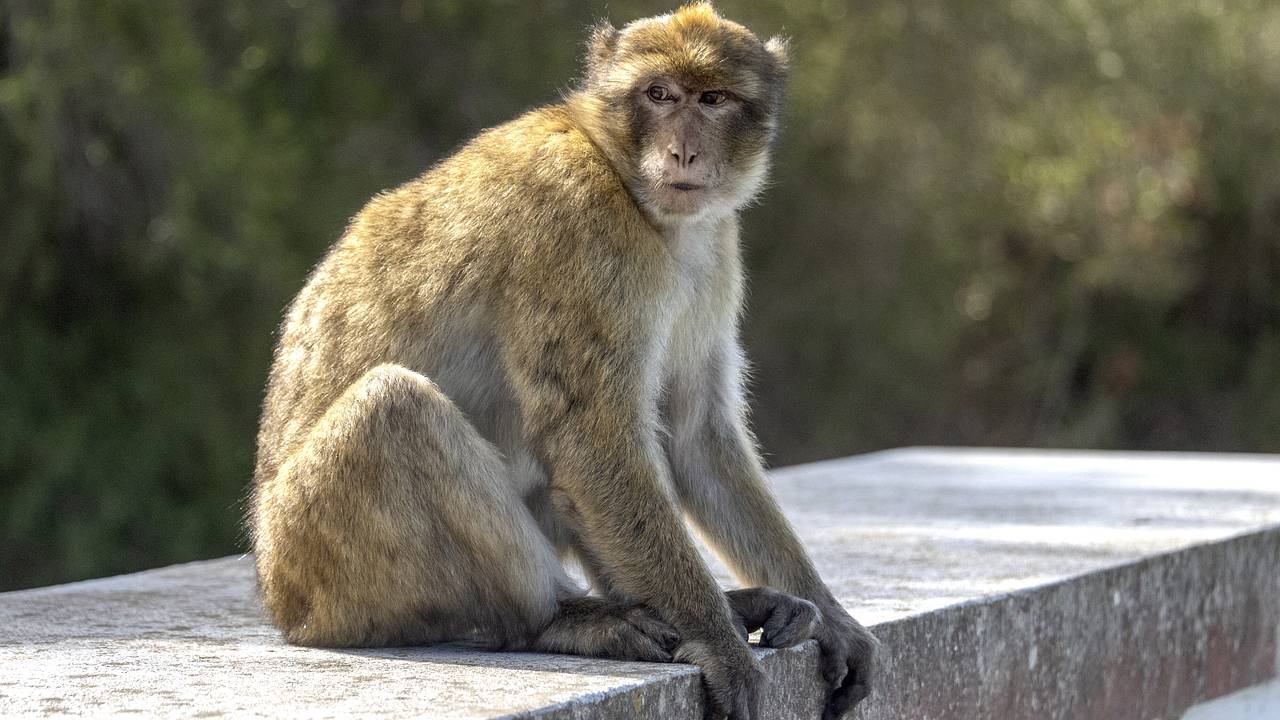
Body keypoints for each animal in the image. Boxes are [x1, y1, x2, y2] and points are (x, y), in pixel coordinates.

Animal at [244, 2, 875, 712]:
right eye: (659, 94)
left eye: (712, 99)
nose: (683, 149)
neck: (623, 177)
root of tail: (279, 603)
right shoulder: (581, 228)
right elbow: (590, 435)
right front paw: (718, 643)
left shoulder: (715, 249)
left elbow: (694, 435)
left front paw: (834, 619)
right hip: (323, 566)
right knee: (396, 409)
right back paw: (555, 620)